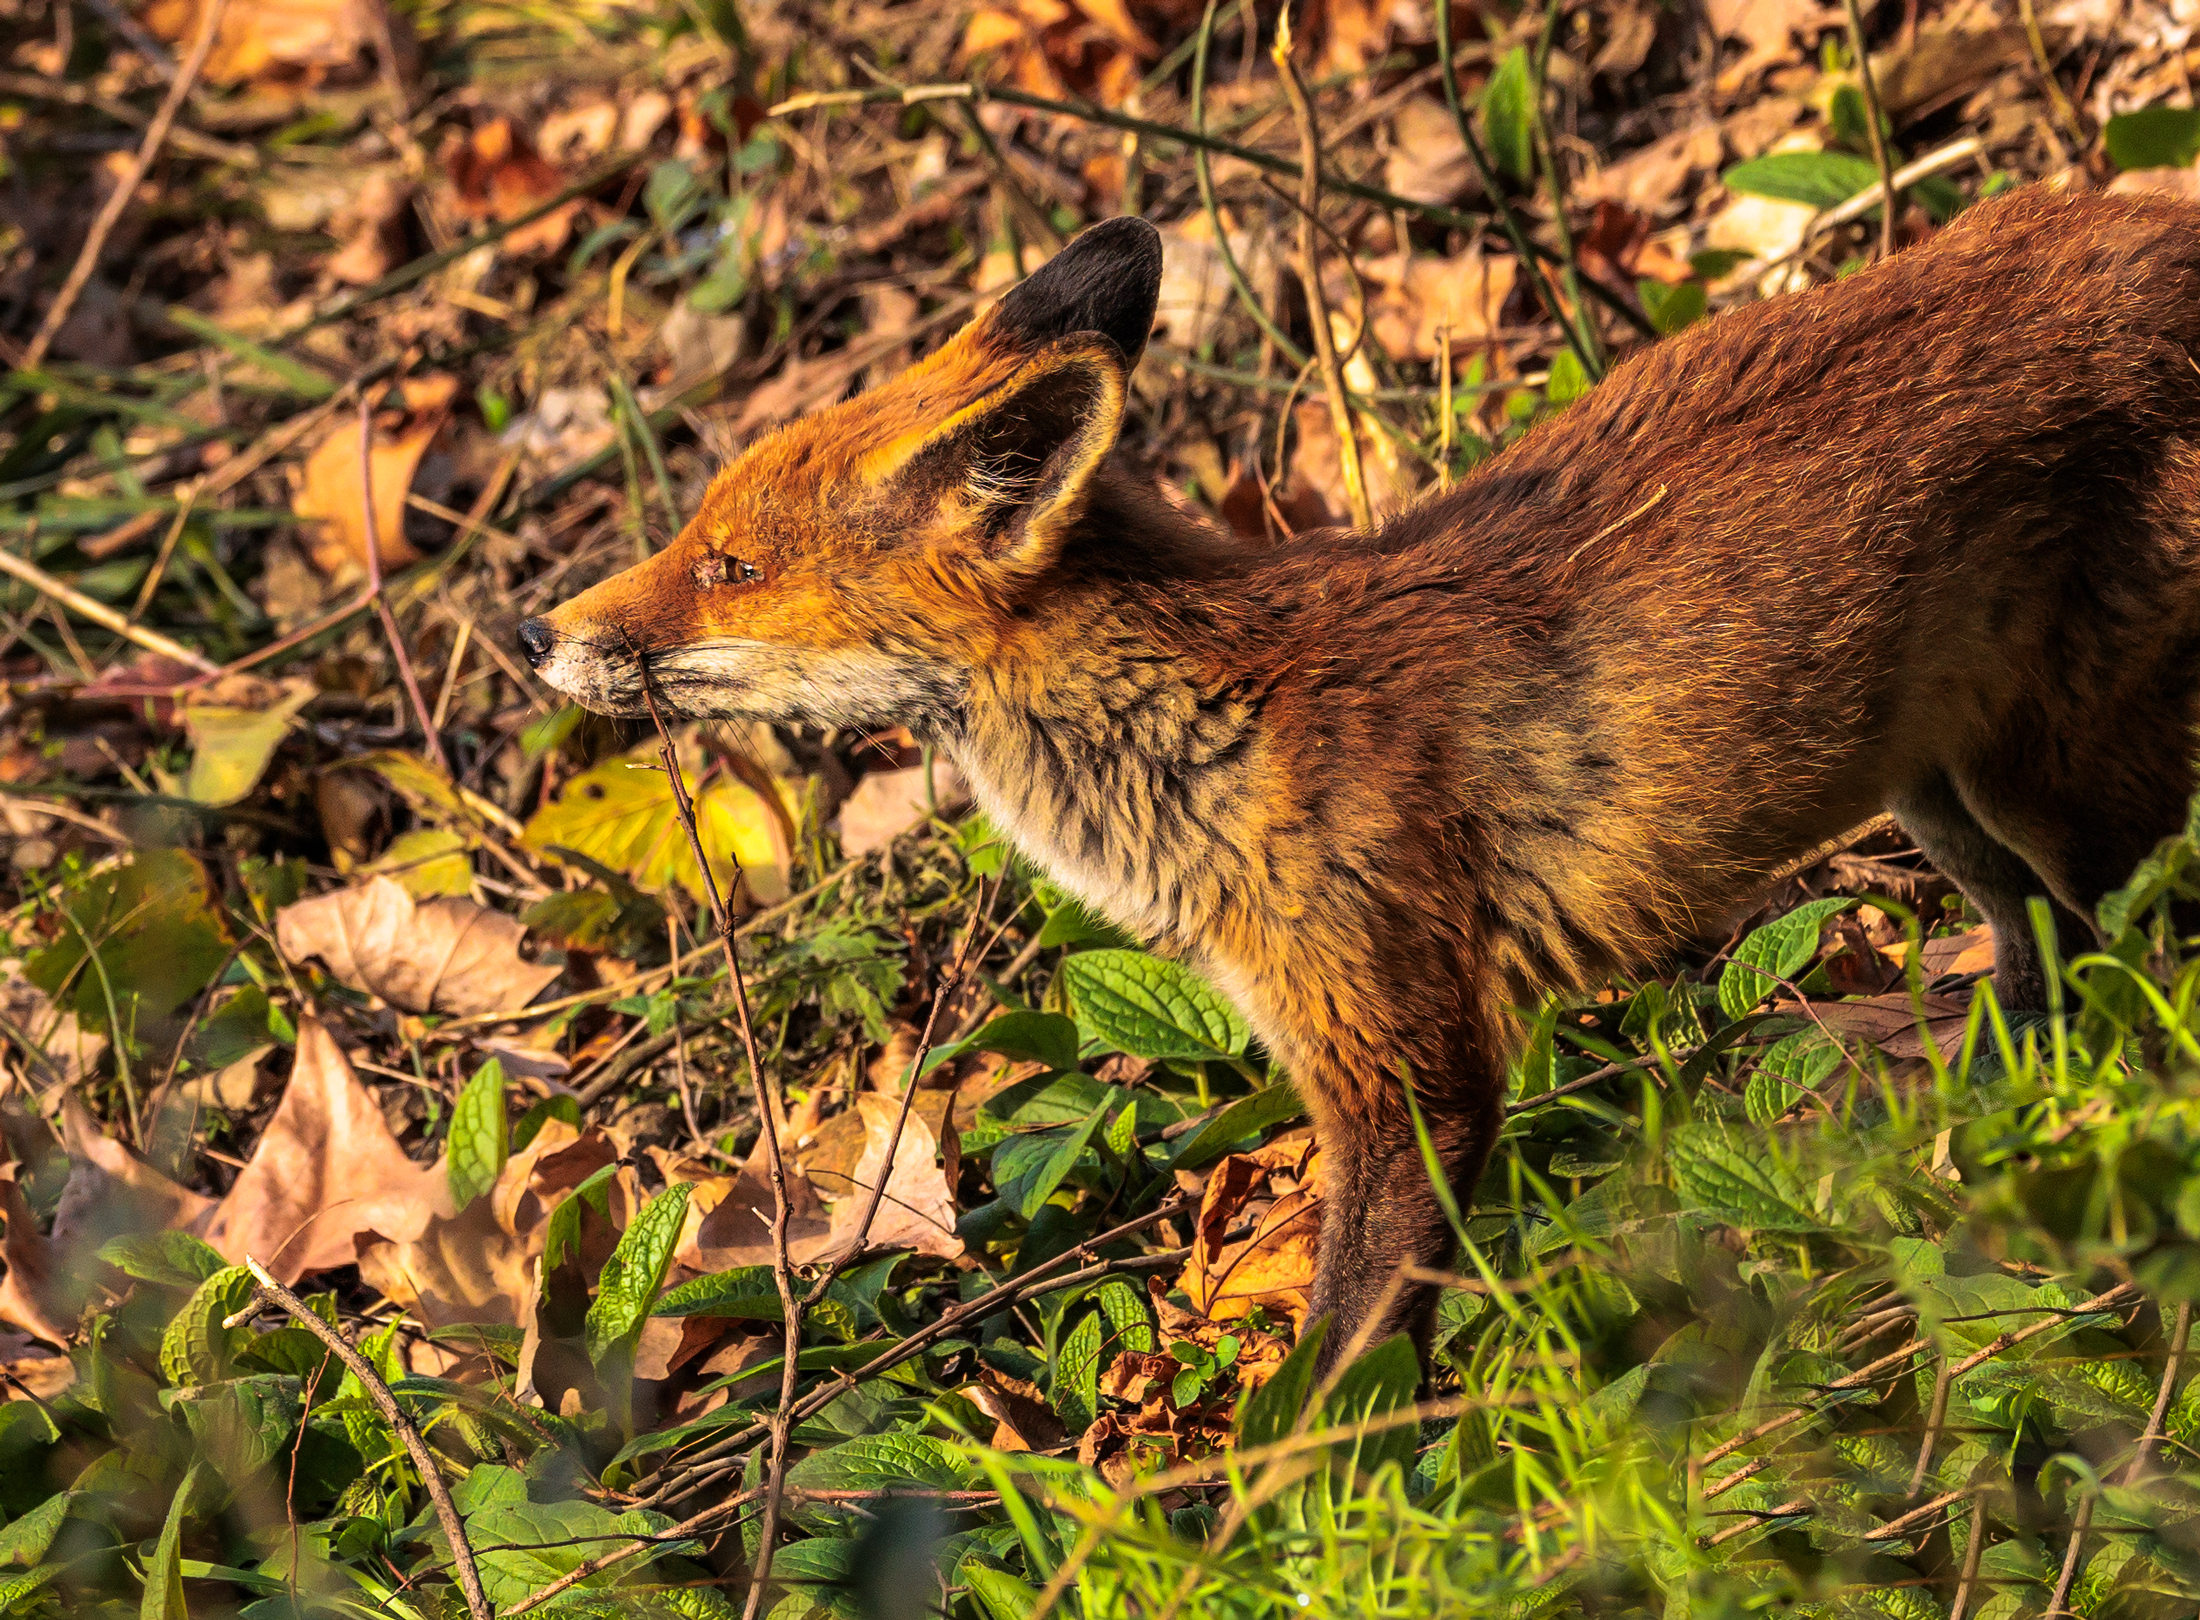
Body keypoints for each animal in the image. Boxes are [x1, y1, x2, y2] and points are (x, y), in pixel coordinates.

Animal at [520, 185, 2200, 1372]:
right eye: (697, 538)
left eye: (729, 568)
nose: (537, 629)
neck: (1211, 727)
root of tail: (2147, 217)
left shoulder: (1408, 1068)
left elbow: (1330, 1380)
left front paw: (1249, 1525)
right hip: (1947, 799)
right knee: (2045, 962)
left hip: (2066, 795)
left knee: (2143, 962)